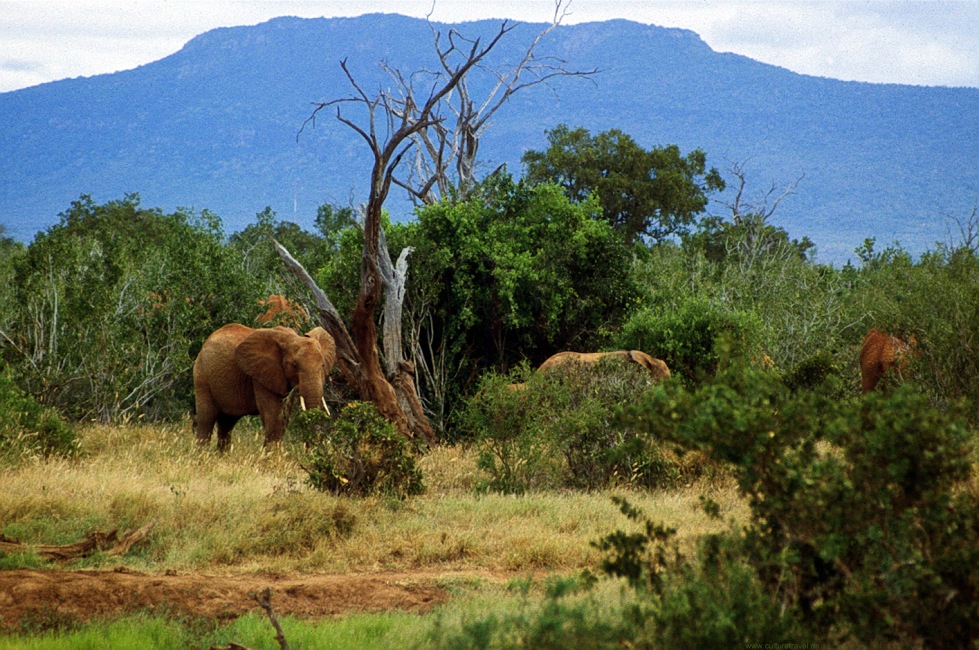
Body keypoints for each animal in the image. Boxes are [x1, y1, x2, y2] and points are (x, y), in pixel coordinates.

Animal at [193, 322, 338, 448]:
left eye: (323, 365)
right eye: (294, 365)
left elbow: (283, 417)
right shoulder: (261, 375)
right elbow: (273, 416)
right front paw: (269, 460)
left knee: (227, 423)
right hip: (201, 377)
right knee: (206, 419)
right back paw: (203, 456)